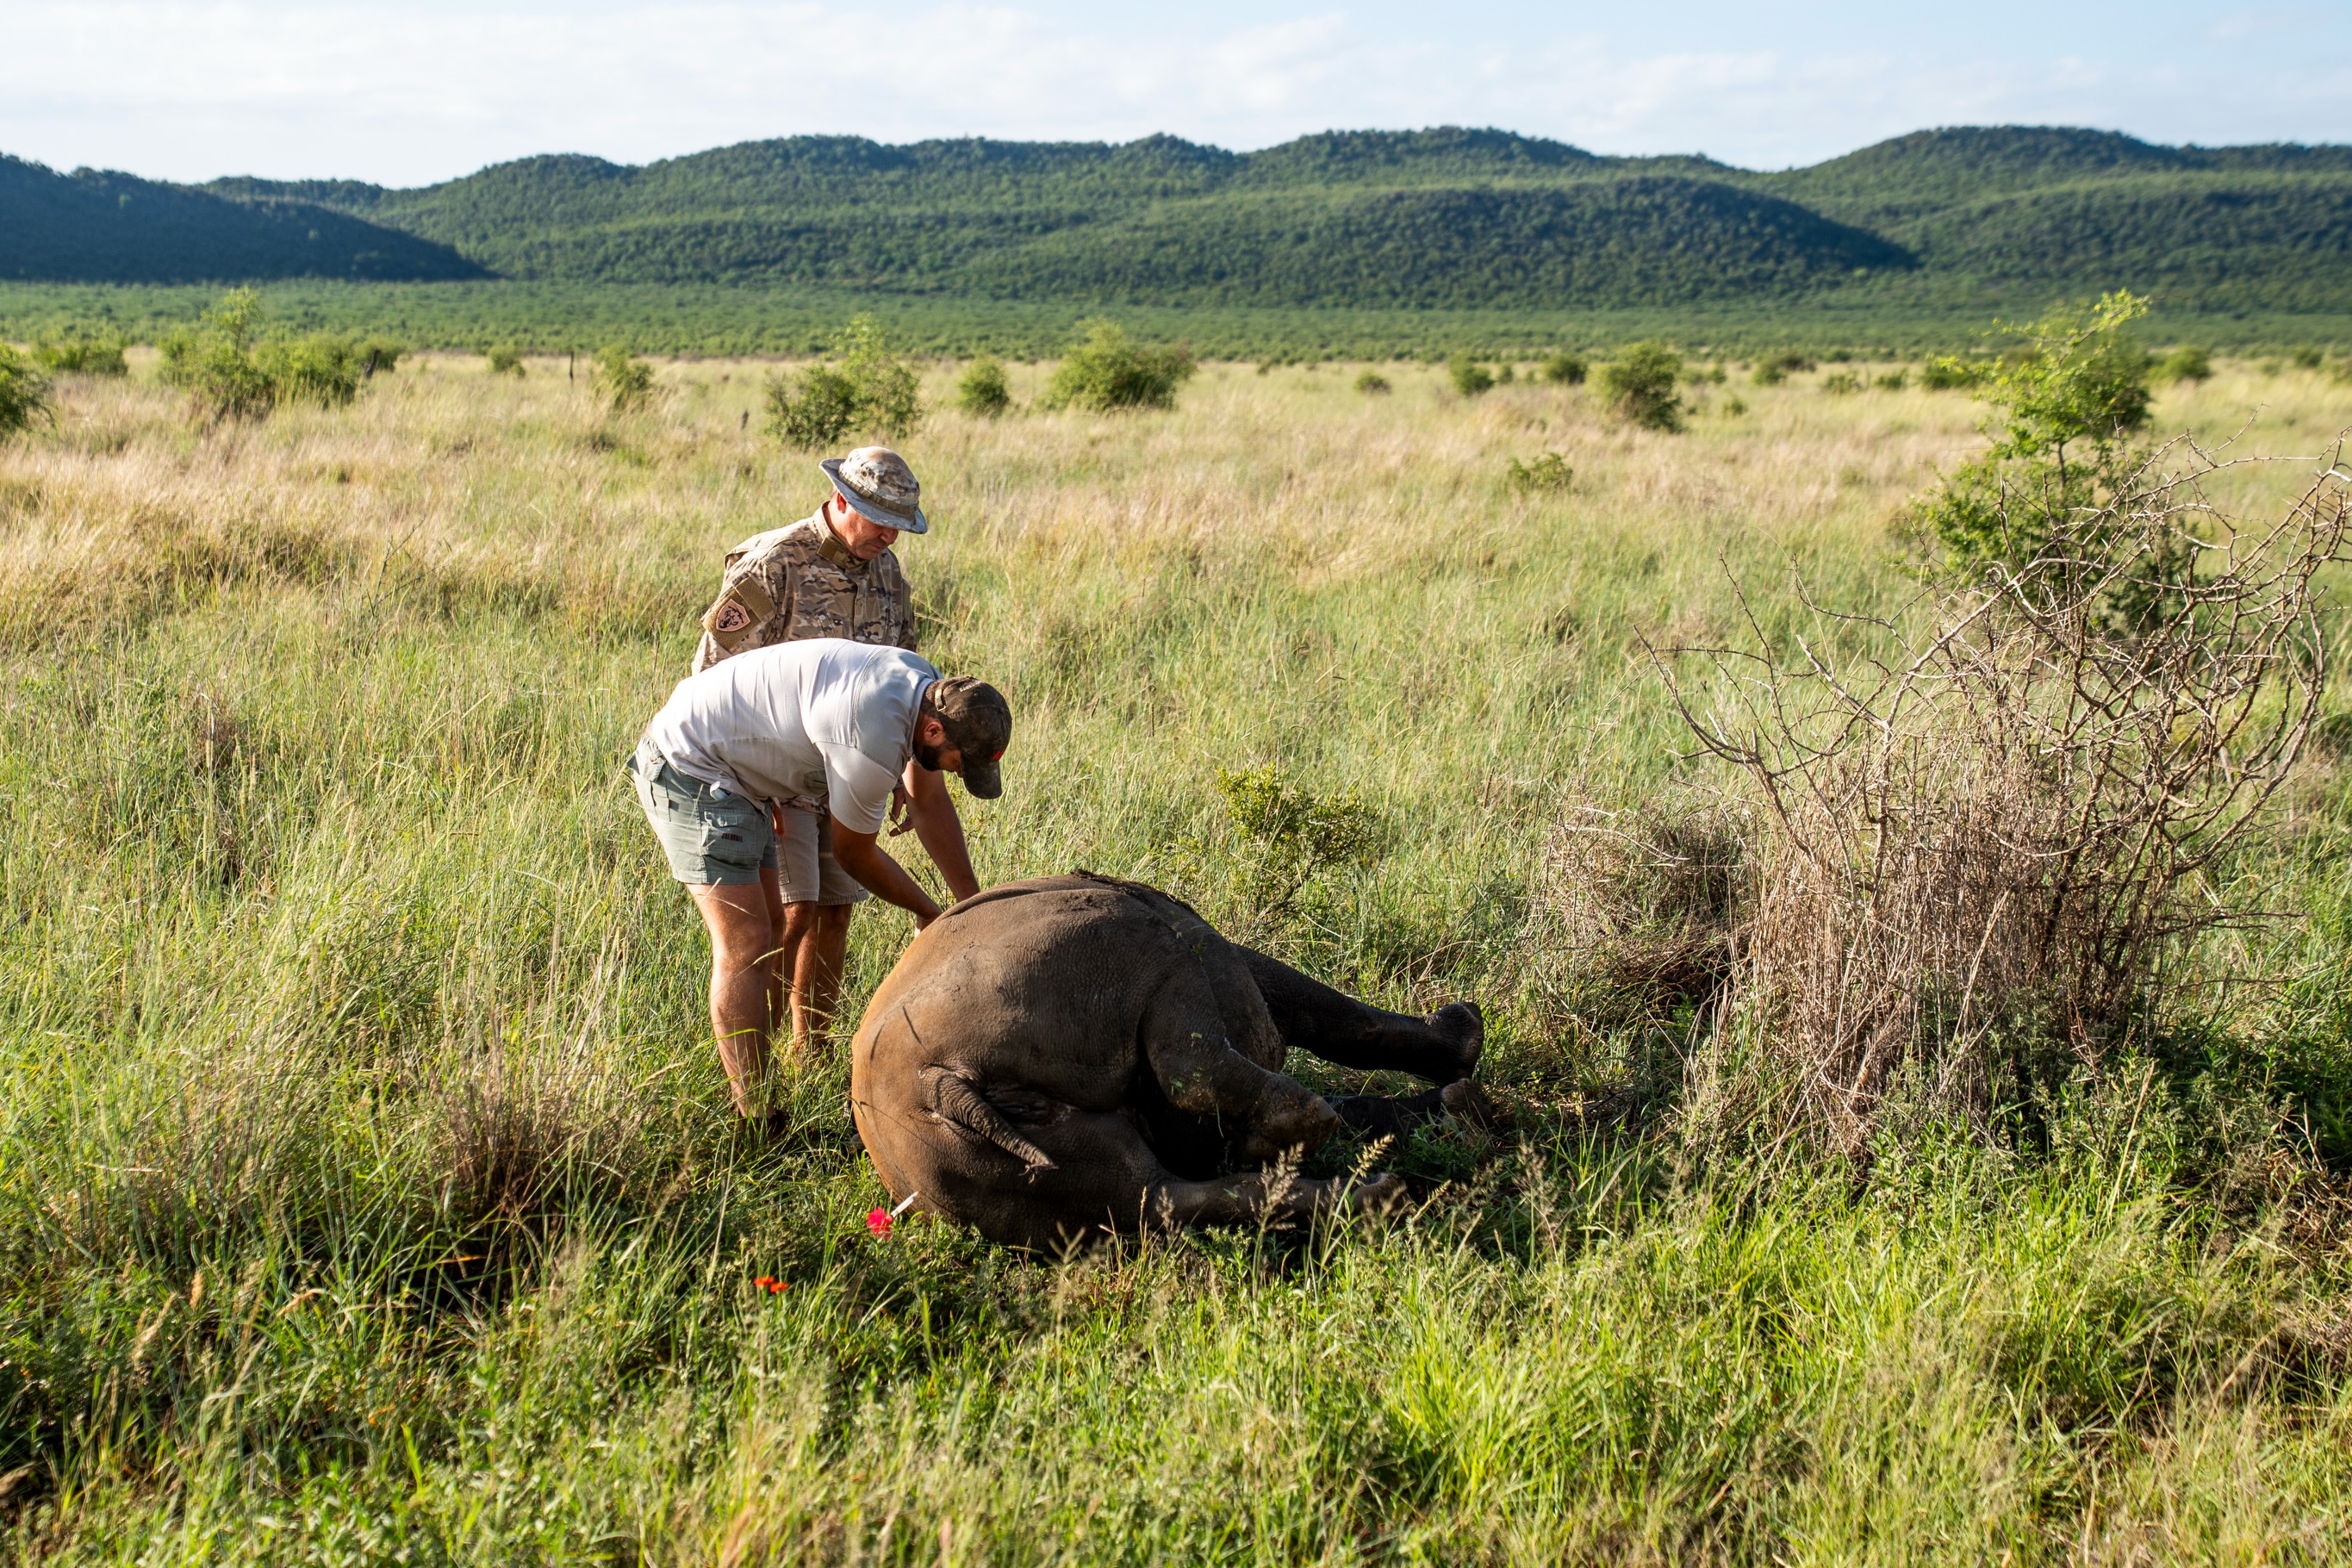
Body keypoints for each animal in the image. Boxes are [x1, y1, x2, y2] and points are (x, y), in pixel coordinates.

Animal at [849, 872, 1491, 1249]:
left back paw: (1374, 1194)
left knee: (1158, 1198)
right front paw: (1462, 1043)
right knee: (1192, 1058)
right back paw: (1334, 1157)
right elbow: (1321, 1009)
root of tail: (936, 1084)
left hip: (983, 1168)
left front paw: (1456, 1105)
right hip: (1107, 947)